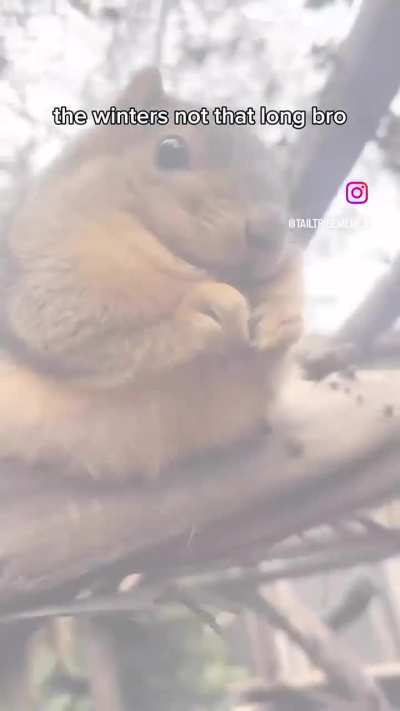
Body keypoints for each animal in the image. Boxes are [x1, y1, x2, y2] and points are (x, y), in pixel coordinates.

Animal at [0, 66, 303, 482]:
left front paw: (282, 316)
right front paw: (200, 305)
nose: (270, 232)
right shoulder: (46, 278)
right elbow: (84, 331)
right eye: (170, 150)